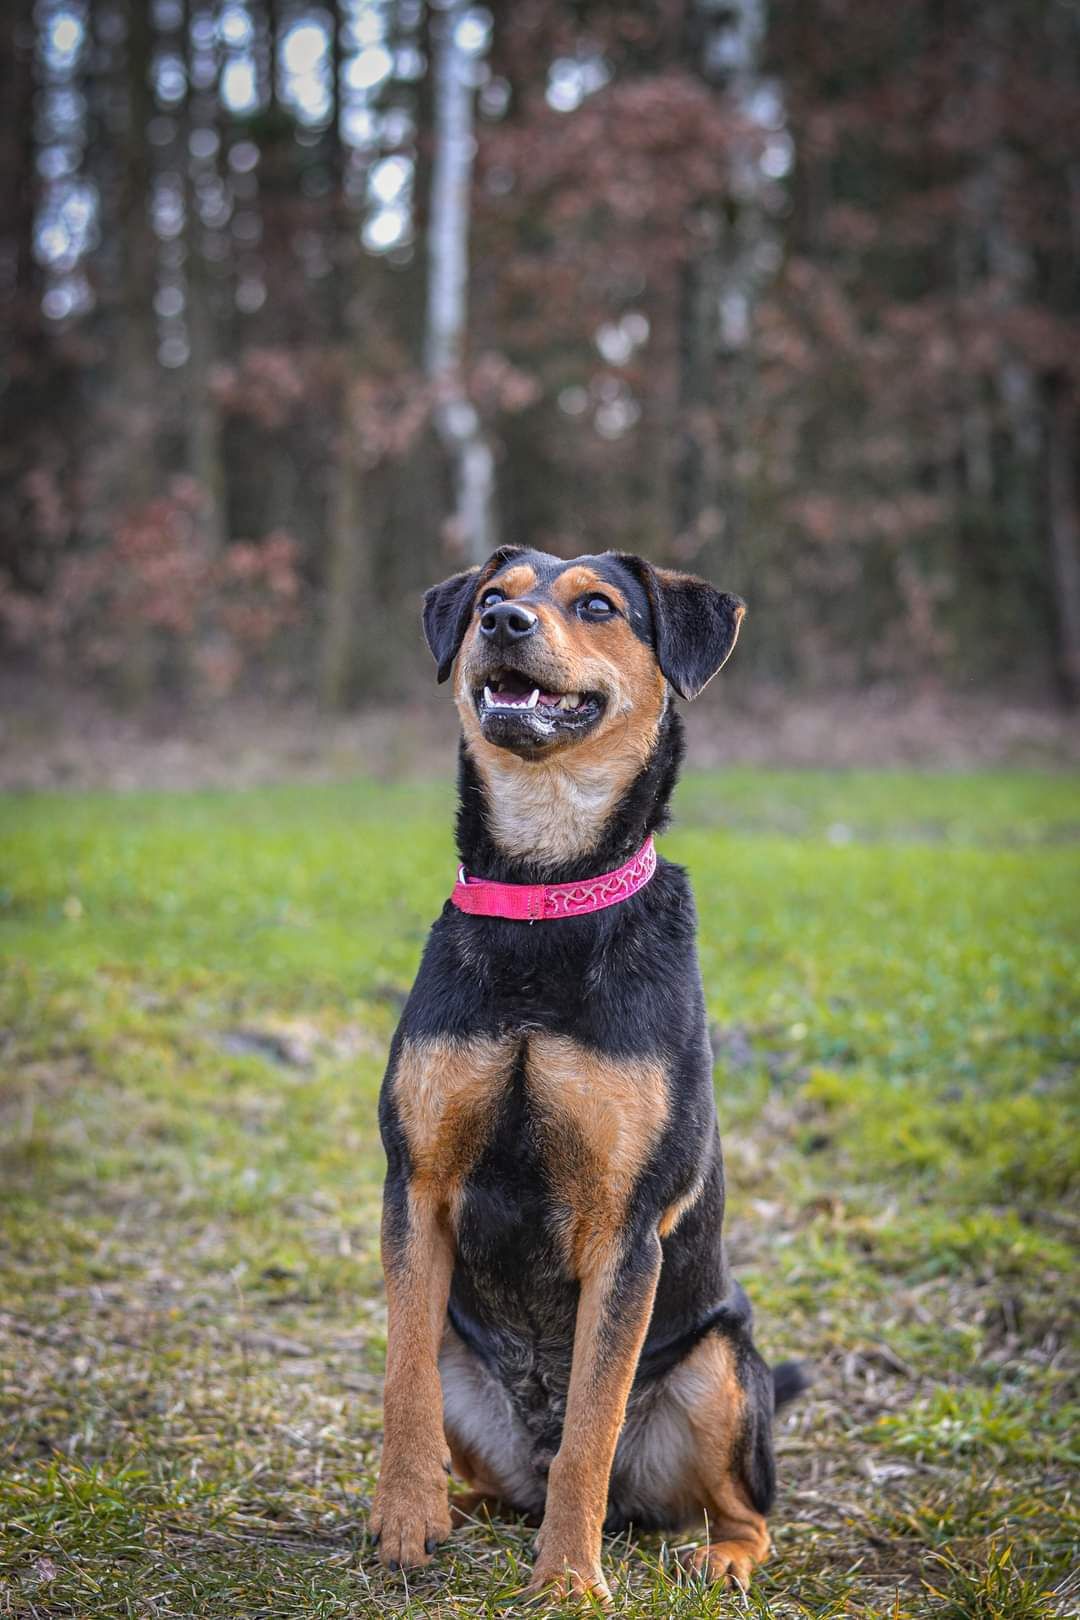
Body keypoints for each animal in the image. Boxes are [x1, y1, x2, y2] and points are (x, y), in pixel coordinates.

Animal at [372, 550, 803, 1600]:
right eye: (491, 599)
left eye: (599, 606)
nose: (504, 623)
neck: (545, 889)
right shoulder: (416, 1185)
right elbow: (402, 1391)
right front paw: (404, 1523)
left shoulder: (626, 1228)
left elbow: (592, 1431)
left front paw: (567, 1578)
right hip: (464, 1350)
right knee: (489, 1466)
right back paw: (463, 1511)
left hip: (723, 1363)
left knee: (743, 1508)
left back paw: (720, 1558)